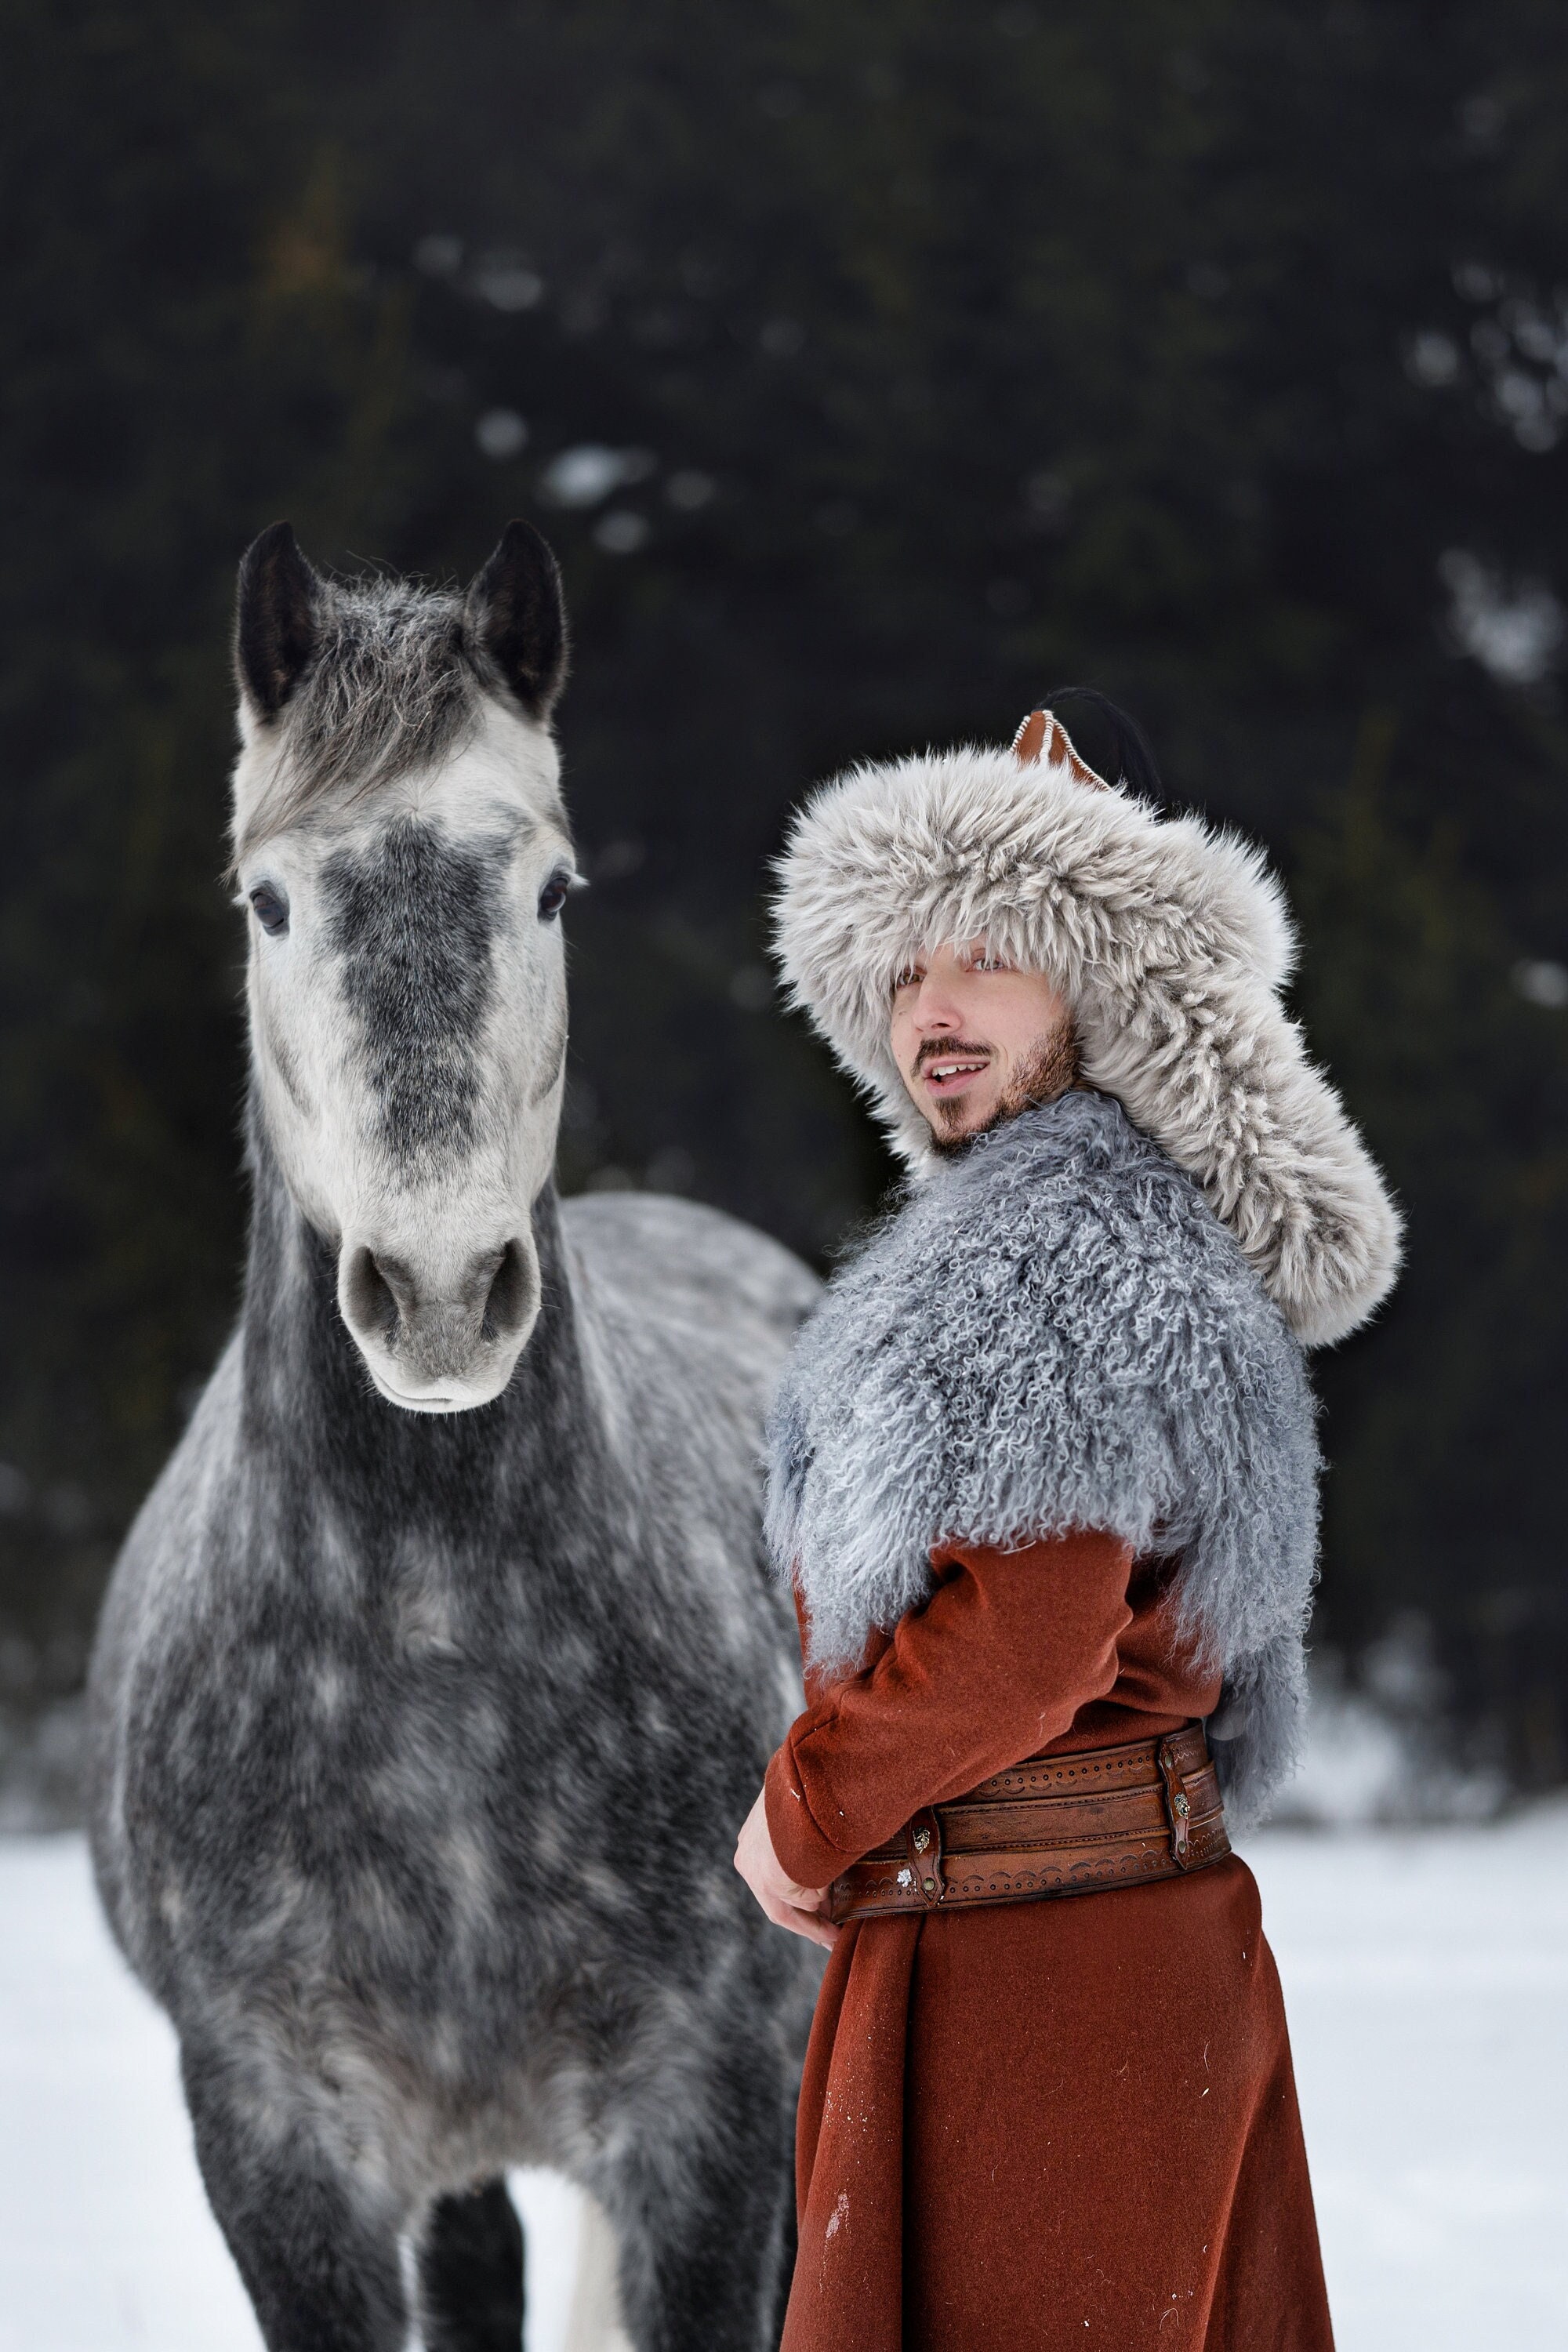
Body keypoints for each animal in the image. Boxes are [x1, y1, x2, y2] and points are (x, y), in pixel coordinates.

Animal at [86, 519, 821, 2352]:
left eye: (551, 887)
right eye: (267, 898)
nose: (436, 1295)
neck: (433, 1653)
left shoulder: (709, 2117)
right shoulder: (281, 2138)